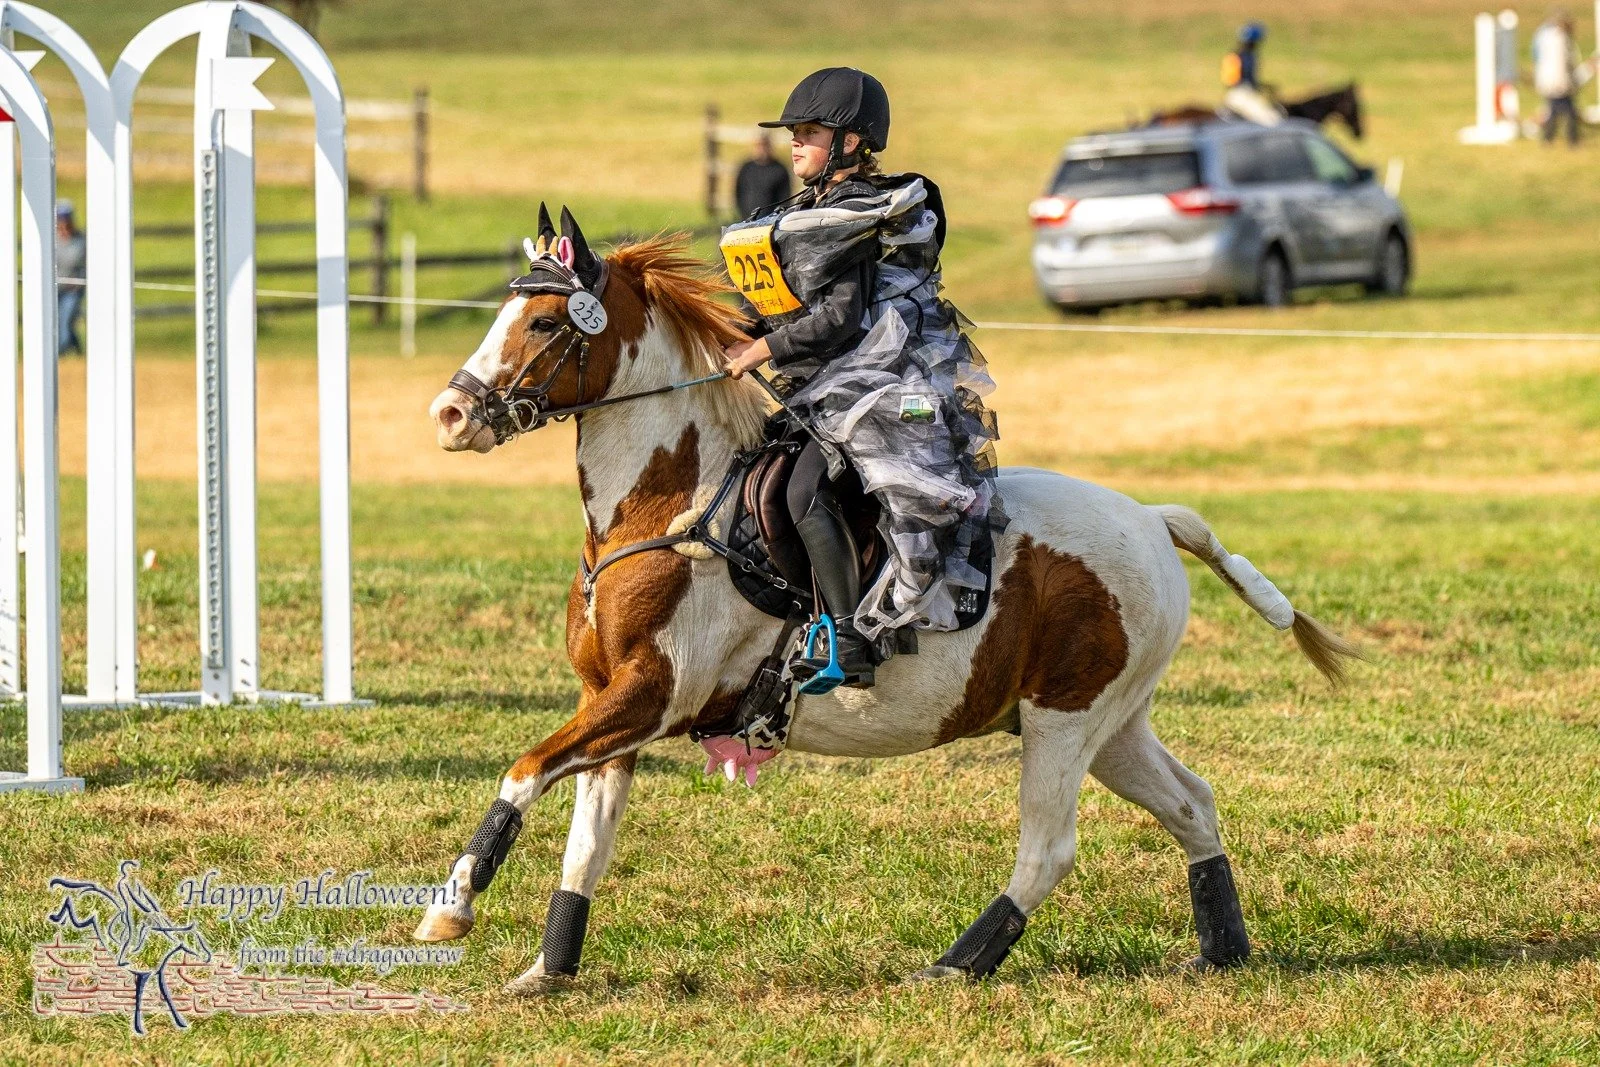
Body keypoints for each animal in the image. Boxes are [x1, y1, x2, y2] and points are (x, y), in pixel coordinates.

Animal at [416, 210, 1360, 994]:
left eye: (544, 322)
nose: (451, 414)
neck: (667, 504)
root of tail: (1153, 519)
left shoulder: (652, 695)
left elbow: (522, 770)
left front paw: (452, 907)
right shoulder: (613, 706)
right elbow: (586, 845)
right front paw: (546, 969)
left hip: (1065, 718)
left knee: (1048, 849)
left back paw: (957, 963)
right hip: (1109, 721)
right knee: (1191, 803)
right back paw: (1221, 949)